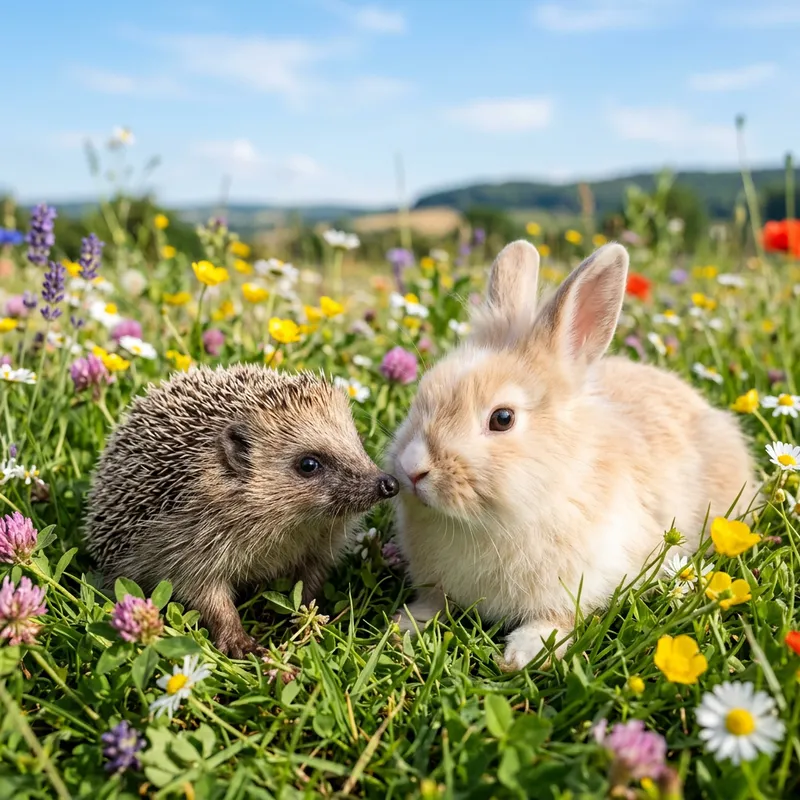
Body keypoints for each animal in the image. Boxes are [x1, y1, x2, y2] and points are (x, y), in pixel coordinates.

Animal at [386, 240, 755, 671]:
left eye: (502, 419)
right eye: (421, 396)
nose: (413, 469)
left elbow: (557, 617)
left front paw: (524, 654)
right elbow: (434, 602)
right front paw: (404, 625)